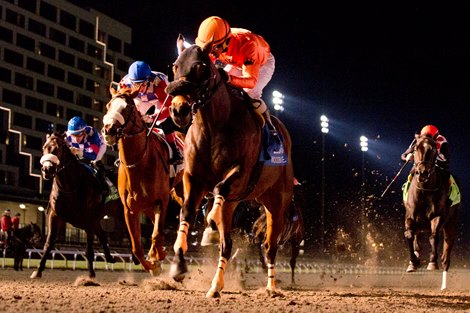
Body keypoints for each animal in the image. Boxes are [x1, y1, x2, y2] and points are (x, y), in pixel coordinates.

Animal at [34, 132, 120, 278]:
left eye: (58, 148)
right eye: (44, 147)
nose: (47, 169)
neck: (70, 186)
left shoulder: (89, 220)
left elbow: (89, 250)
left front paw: (91, 275)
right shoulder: (55, 215)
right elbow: (48, 243)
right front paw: (38, 270)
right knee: (102, 234)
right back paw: (110, 257)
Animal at [101, 87, 182, 272]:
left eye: (128, 107)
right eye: (108, 105)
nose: (108, 130)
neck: (139, 164)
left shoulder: (162, 201)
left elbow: (156, 234)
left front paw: (155, 257)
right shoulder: (130, 209)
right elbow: (137, 248)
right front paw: (153, 264)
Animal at [165, 35, 294, 296]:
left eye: (201, 68)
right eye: (175, 67)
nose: (178, 110)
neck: (214, 126)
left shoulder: (241, 173)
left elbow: (219, 188)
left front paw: (210, 221)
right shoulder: (193, 177)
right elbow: (187, 210)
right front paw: (178, 264)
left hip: (276, 202)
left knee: (270, 246)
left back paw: (271, 286)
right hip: (238, 203)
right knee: (227, 244)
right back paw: (216, 285)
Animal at [402, 133, 460, 288]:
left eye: (434, 149)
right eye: (416, 148)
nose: (423, 172)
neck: (424, 190)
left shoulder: (437, 216)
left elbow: (434, 237)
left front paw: (432, 262)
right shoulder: (410, 215)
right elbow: (409, 235)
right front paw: (413, 262)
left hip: (451, 223)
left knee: (446, 256)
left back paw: (444, 285)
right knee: (416, 238)